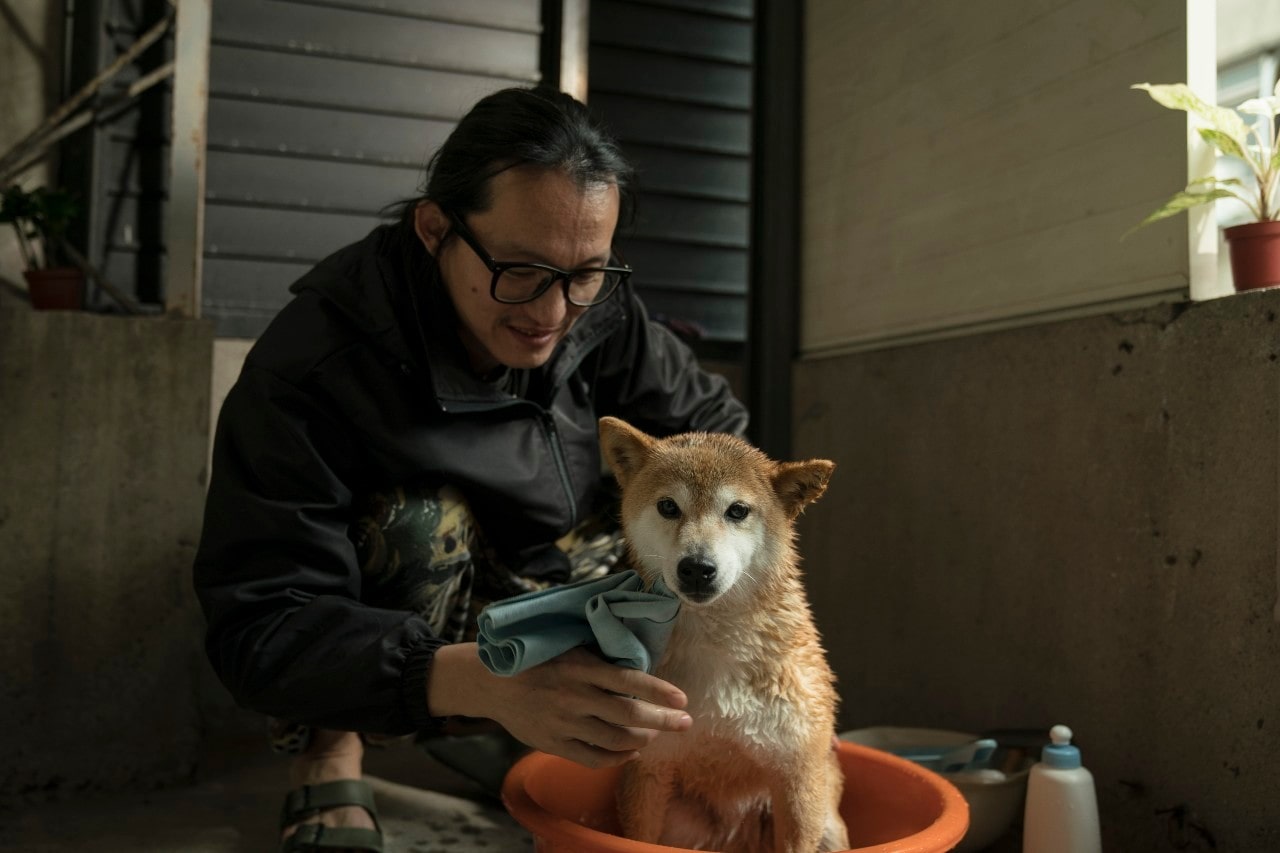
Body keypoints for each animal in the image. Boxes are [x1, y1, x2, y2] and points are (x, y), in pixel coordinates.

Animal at [599, 417, 849, 850]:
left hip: (829, 826)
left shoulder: (799, 773)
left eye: (737, 511)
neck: (716, 649)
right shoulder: (650, 766)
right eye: (668, 506)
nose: (697, 567)